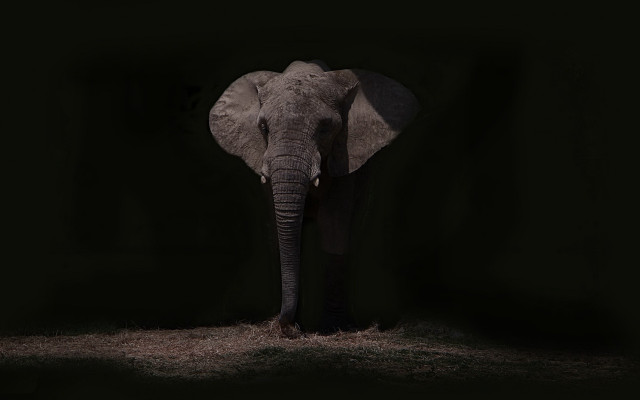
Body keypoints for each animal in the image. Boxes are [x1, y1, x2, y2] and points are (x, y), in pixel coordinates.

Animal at [209, 60, 419, 337]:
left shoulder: (346, 158)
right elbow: (279, 230)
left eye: (325, 128)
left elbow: (333, 226)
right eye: (264, 128)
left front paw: (331, 327)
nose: (288, 328)